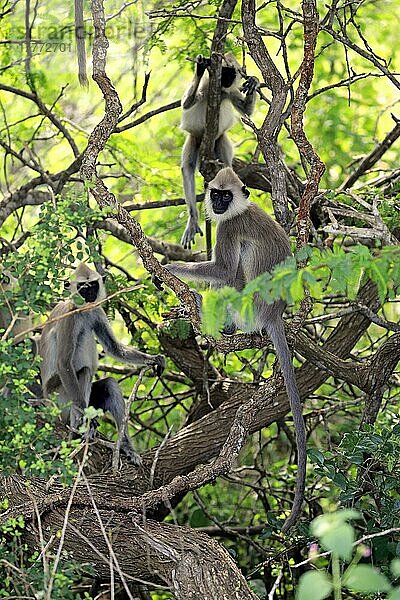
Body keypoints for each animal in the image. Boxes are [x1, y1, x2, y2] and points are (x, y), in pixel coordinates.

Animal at [38, 262, 166, 464]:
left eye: (93, 286)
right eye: (82, 288)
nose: (90, 295)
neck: (82, 310)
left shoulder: (96, 310)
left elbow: (113, 347)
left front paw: (153, 359)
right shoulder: (69, 317)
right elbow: (64, 363)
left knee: (109, 385)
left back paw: (125, 447)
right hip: (58, 399)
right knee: (84, 370)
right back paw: (80, 429)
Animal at [162, 169, 306, 528]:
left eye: (226, 197)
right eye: (216, 194)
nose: (217, 204)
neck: (239, 210)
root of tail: (273, 313)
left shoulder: (229, 227)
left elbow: (223, 269)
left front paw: (167, 269)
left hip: (245, 303)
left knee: (230, 272)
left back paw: (201, 306)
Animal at [180, 51, 260, 248]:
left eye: (232, 73)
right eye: (223, 71)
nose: (228, 79)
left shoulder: (229, 92)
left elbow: (246, 111)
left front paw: (254, 82)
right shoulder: (206, 90)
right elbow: (186, 103)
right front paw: (200, 67)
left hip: (218, 142)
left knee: (224, 150)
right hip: (195, 141)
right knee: (187, 168)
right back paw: (192, 218)